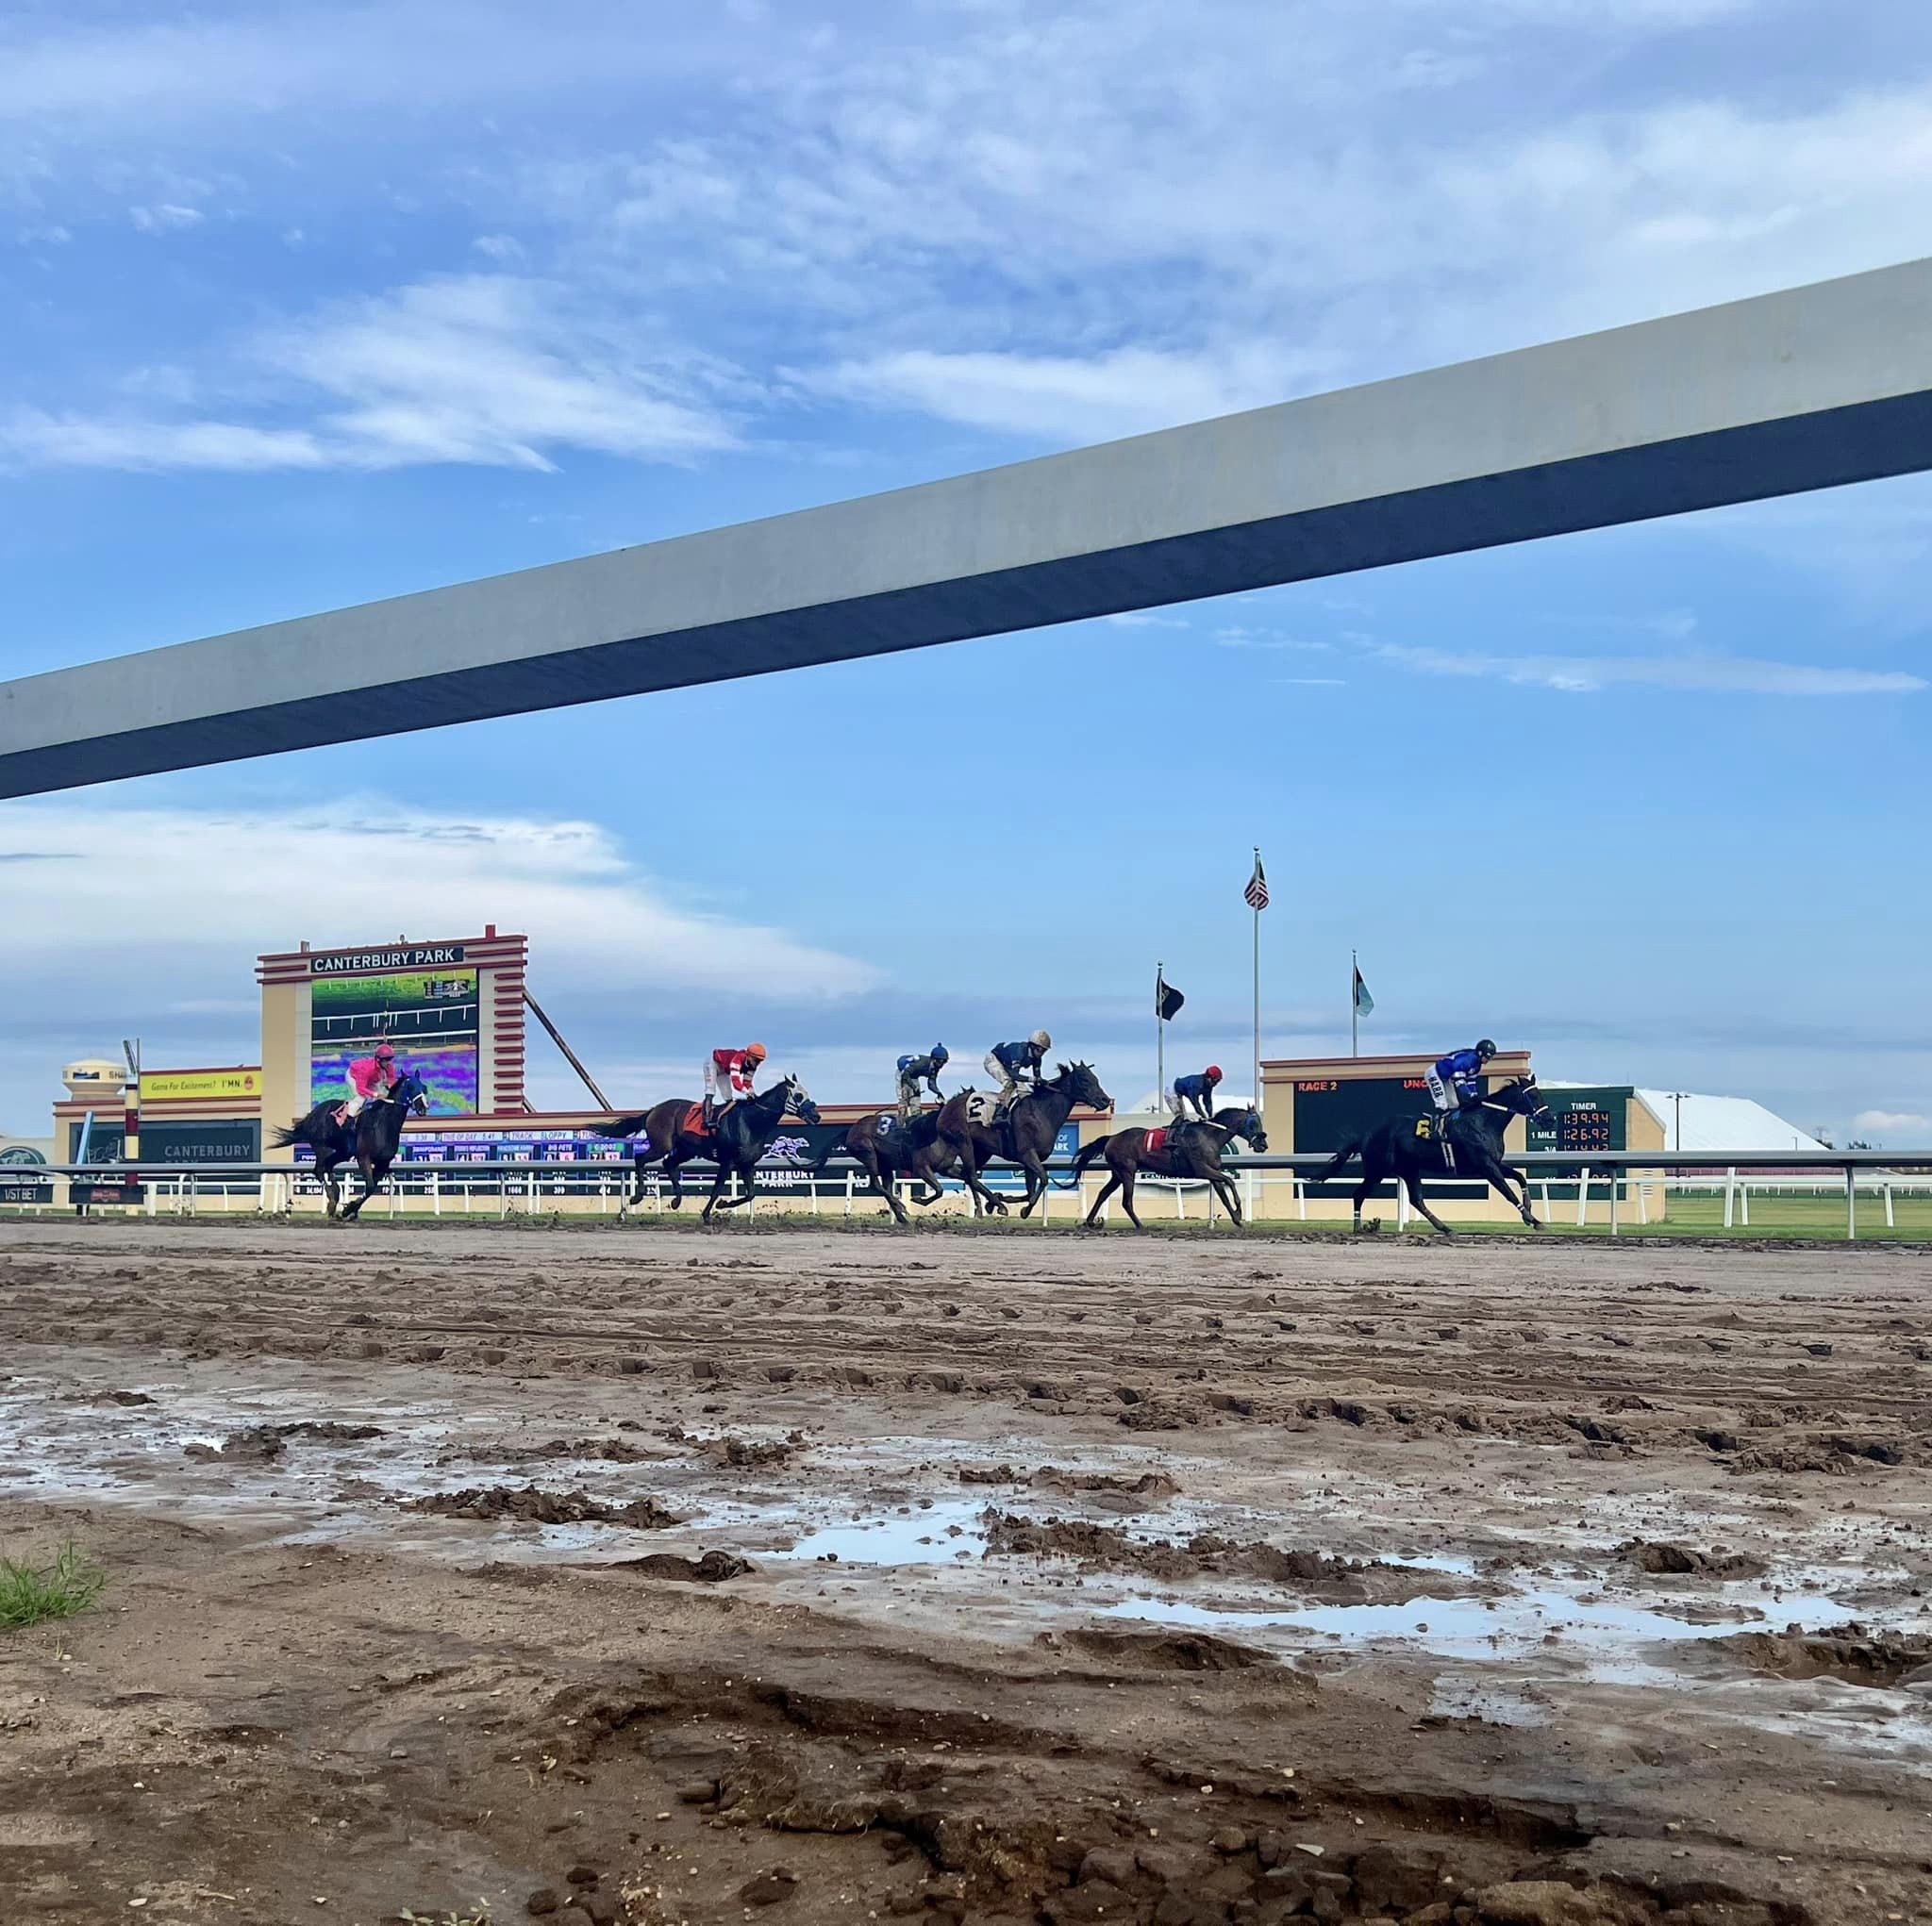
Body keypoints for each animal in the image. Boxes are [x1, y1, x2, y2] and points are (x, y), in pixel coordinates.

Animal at [272, 1066, 430, 1220]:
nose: (423, 1107)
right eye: (410, 1086)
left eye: (424, 1087)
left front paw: (351, 1209)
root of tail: (313, 1113)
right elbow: (370, 1186)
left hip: (342, 1152)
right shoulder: (363, 1157)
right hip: (323, 1147)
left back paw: (334, 1198)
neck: (383, 1124)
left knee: (327, 1167)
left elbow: (371, 1188)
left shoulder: (383, 1163)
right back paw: (333, 1200)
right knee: (319, 1169)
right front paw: (348, 1209)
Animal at [594, 1073, 823, 1228]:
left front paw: (723, 1205)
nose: (817, 1116)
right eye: (799, 1095)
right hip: (662, 1145)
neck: (751, 1122)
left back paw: (677, 1200)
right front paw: (708, 1212)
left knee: (668, 1163)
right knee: (640, 1158)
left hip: (685, 1150)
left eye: (807, 1093)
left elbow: (750, 1194)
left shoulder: (746, 1164)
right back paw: (638, 1196)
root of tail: (654, 1110)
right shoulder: (727, 1162)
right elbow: (716, 1189)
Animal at [939, 1066, 1120, 1220]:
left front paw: (1001, 1198)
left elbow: (1029, 1191)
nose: (1105, 1100)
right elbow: (1044, 1179)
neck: (1042, 1112)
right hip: (964, 1143)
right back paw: (994, 1205)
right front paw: (1024, 1210)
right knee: (970, 1175)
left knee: (964, 1174)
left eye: (1095, 1078)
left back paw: (986, 1205)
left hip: (982, 1151)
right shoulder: (1026, 1154)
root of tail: (947, 1106)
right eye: (1084, 1079)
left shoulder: (1031, 1159)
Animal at [1074, 1097, 1267, 1236]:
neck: (1209, 1136)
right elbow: (1230, 1181)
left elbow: (1224, 1195)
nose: (1263, 1145)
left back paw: (1090, 1222)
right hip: (1127, 1172)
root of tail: (1112, 1137)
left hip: (1117, 1173)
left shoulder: (1212, 1172)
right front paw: (1239, 1212)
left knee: (1103, 1193)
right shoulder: (1202, 1170)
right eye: (1254, 1123)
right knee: (1126, 1201)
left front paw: (1237, 1220)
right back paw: (1140, 1225)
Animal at [1298, 1066, 1553, 1236]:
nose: (1549, 1119)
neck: (1484, 1121)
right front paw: (1530, 1217)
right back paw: (1359, 1227)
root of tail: (1367, 1135)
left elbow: (1520, 1177)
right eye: (1533, 1095)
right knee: (1358, 1194)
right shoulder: (1485, 1166)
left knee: (1416, 1200)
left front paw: (1531, 1214)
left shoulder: (1494, 1162)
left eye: (1541, 1094)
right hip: (1378, 1169)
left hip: (1408, 1169)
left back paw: (1445, 1227)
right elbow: (1508, 1192)